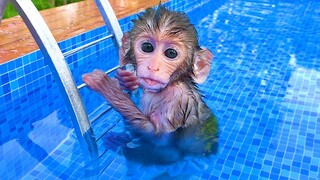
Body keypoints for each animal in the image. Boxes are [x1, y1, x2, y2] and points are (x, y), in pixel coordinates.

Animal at [82, 4, 219, 165]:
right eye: (147, 47)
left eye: (171, 53)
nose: (153, 67)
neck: (172, 84)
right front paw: (127, 80)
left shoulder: (174, 104)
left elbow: (163, 145)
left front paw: (108, 87)